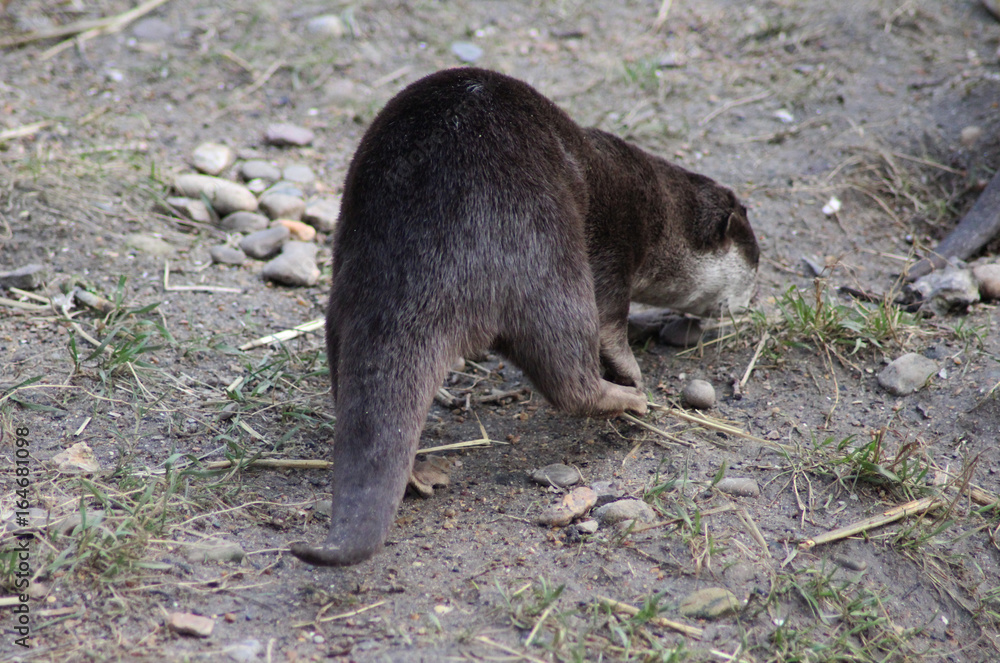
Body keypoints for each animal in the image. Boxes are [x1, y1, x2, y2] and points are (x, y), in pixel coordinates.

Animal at [290, 68, 759, 566]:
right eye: (754, 262)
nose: (750, 299)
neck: (658, 216)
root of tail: (426, 263)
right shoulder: (614, 249)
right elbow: (610, 324)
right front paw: (633, 373)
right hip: (549, 256)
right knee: (569, 372)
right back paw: (628, 400)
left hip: (347, 293)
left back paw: (418, 472)